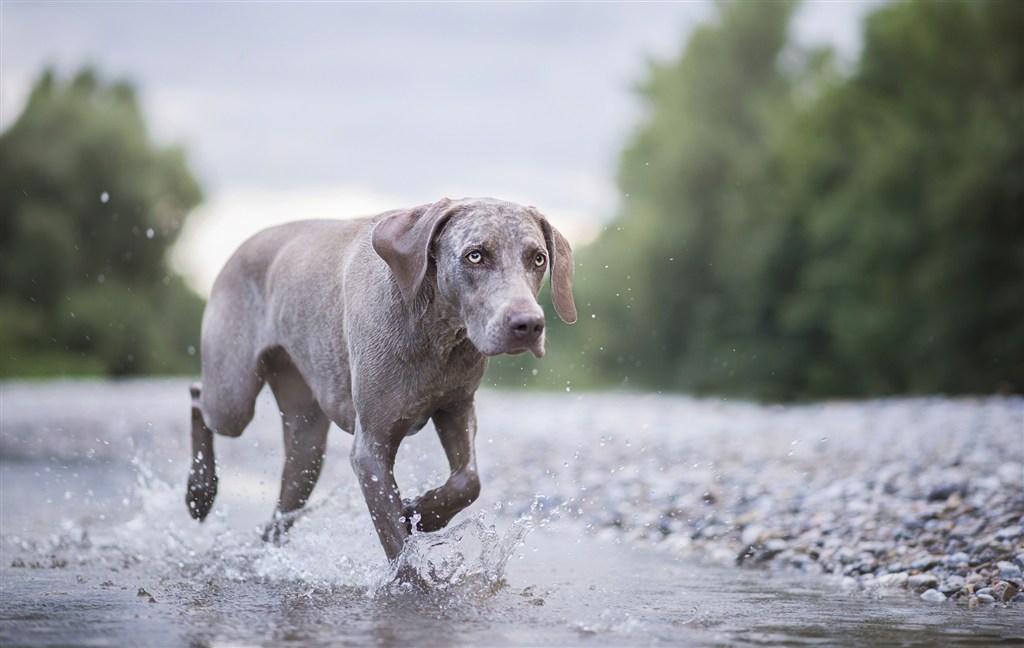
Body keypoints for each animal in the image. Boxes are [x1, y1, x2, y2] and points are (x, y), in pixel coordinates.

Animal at [185, 197, 577, 560]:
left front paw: (421, 512)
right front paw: (412, 574)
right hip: (232, 398)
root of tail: (242, 246)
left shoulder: (456, 407)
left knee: (283, 506)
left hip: (307, 442)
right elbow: (397, 542)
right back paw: (199, 492)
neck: (438, 335)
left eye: (538, 259)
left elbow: (469, 480)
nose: (528, 325)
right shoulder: (371, 447)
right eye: (476, 256)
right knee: (198, 396)